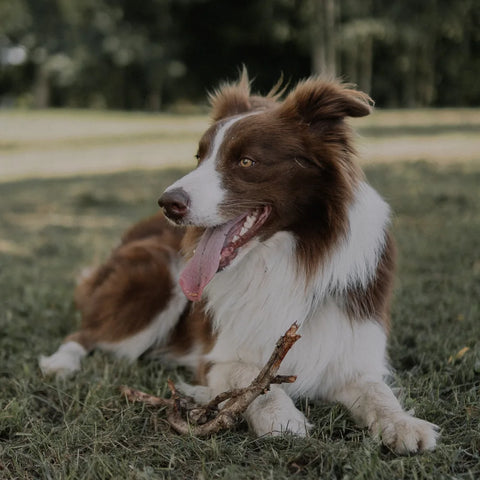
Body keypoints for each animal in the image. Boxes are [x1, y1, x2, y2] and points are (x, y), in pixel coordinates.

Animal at [40, 70, 438, 454]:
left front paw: (403, 424)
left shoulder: (353, 349)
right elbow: (253, 379)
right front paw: (281, 417)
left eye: (246, 161)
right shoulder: (217, 357)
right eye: (199, 158)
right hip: (157, 279)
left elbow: (376, 391)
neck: (285, 259)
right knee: (86, 334)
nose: (168, 203)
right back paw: (59, 364)